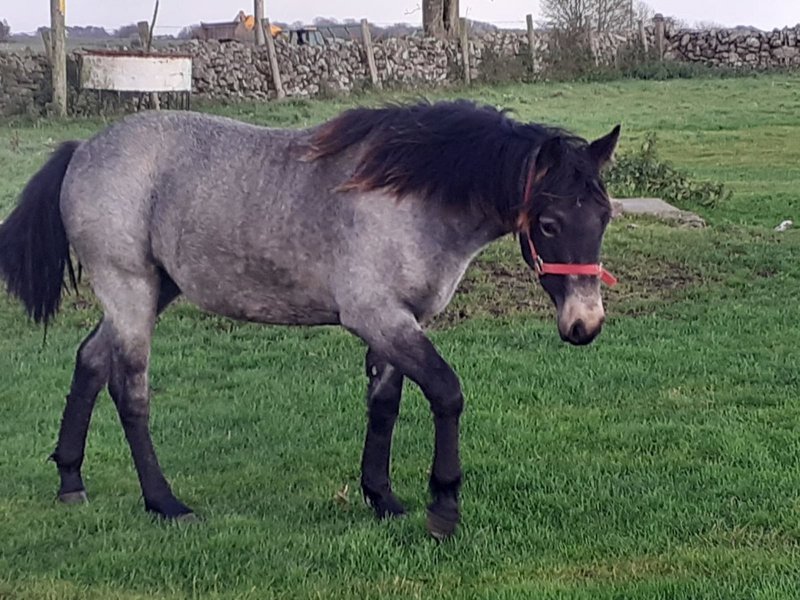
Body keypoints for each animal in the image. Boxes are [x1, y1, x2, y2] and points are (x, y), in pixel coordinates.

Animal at [0, 100, 619, 539]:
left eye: (604, 216)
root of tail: (84, 149)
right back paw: (165, 503)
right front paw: (442, 505)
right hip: (127, 289)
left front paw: (382, 498)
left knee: (89, 361)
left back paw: (71, 480)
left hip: (151, 290)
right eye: (549, 224)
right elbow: (446, 392)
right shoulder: (379, 318)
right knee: (129, 392)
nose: (584, 324)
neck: (407, 198)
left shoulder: (397, 323)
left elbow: (385, 406)